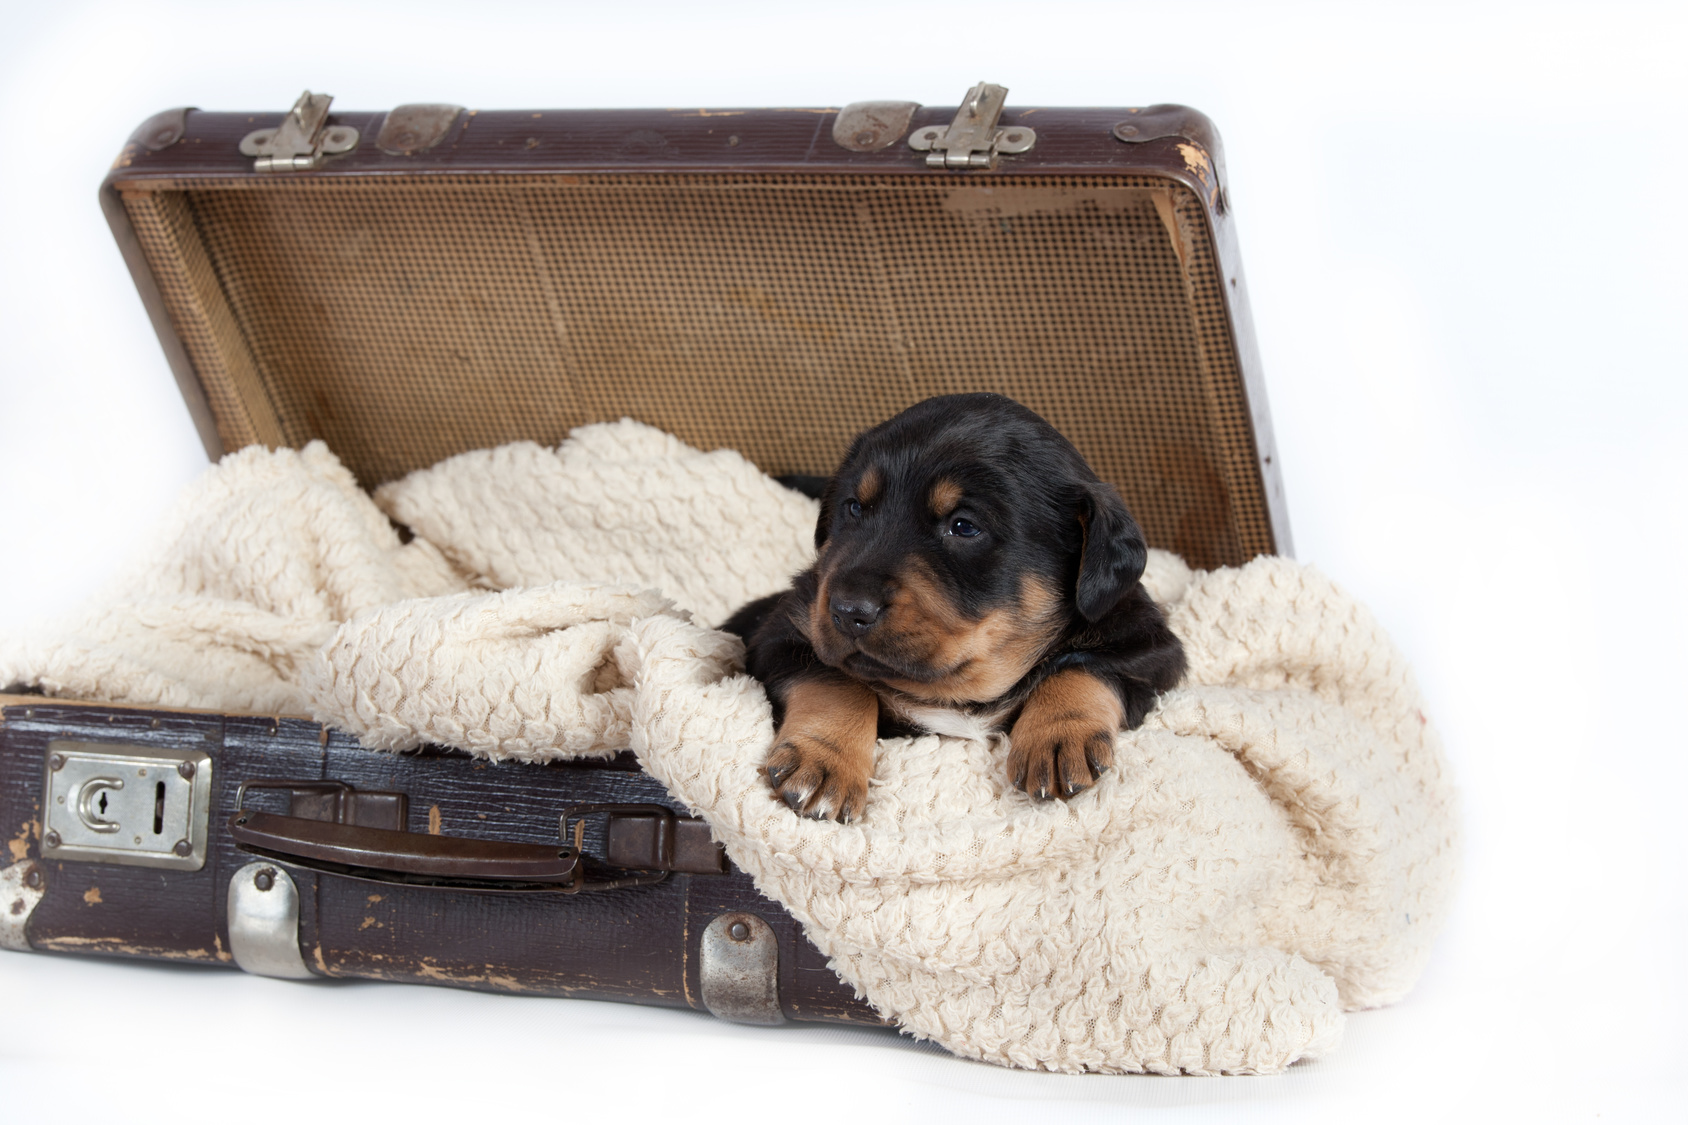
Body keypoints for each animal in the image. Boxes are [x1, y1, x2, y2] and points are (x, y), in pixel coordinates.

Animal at [725, 390, 1188, 820]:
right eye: (853, 508)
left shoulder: (1148, 648)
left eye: (964, 527)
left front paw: (1058, 738)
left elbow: (1084, 666)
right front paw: (823, 761)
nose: (847, 610)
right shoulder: (785, 631)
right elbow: (837, 680)